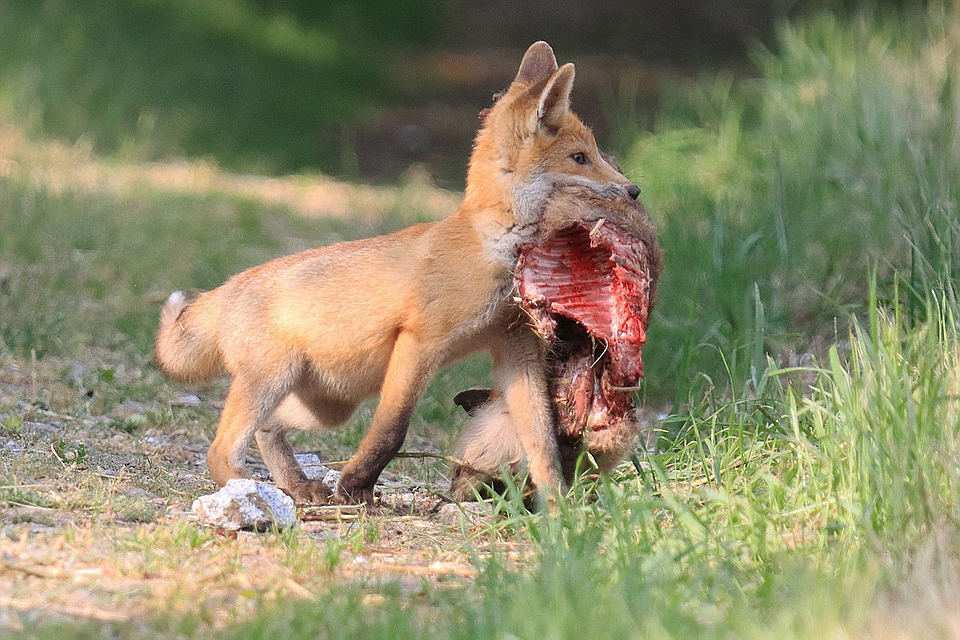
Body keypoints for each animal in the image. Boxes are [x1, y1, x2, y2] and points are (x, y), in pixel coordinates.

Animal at [156, 42, 636, 508]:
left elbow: (542, 444)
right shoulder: (419, 343)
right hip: (274, 384)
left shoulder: (517, 351)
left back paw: (296, 486)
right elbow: (392, 430)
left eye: (595, 154)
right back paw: (249, 491)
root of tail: (228, 286)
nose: (634, 190)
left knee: (267, 429)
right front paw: (356, 489)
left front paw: (558, 509)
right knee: (220, 448)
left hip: (329, 405)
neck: (493, 249)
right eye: (580, 158)